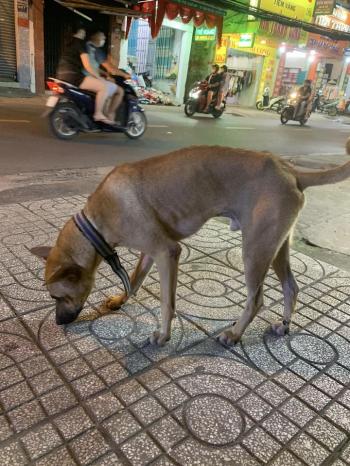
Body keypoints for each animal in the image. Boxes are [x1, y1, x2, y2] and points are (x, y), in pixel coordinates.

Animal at [31, 146, 350, 346]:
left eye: (56, 297)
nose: (58, 323)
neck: (95, 222)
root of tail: (290, 169)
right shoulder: (150, 253)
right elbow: (133, 280)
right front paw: (120, 300)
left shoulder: (167, 252)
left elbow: (167, 303)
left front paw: (163, 336)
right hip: (276, 247)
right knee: (291, 287)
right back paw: (283, 325)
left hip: (255, 251)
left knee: (256, 299)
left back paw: (234, 335)